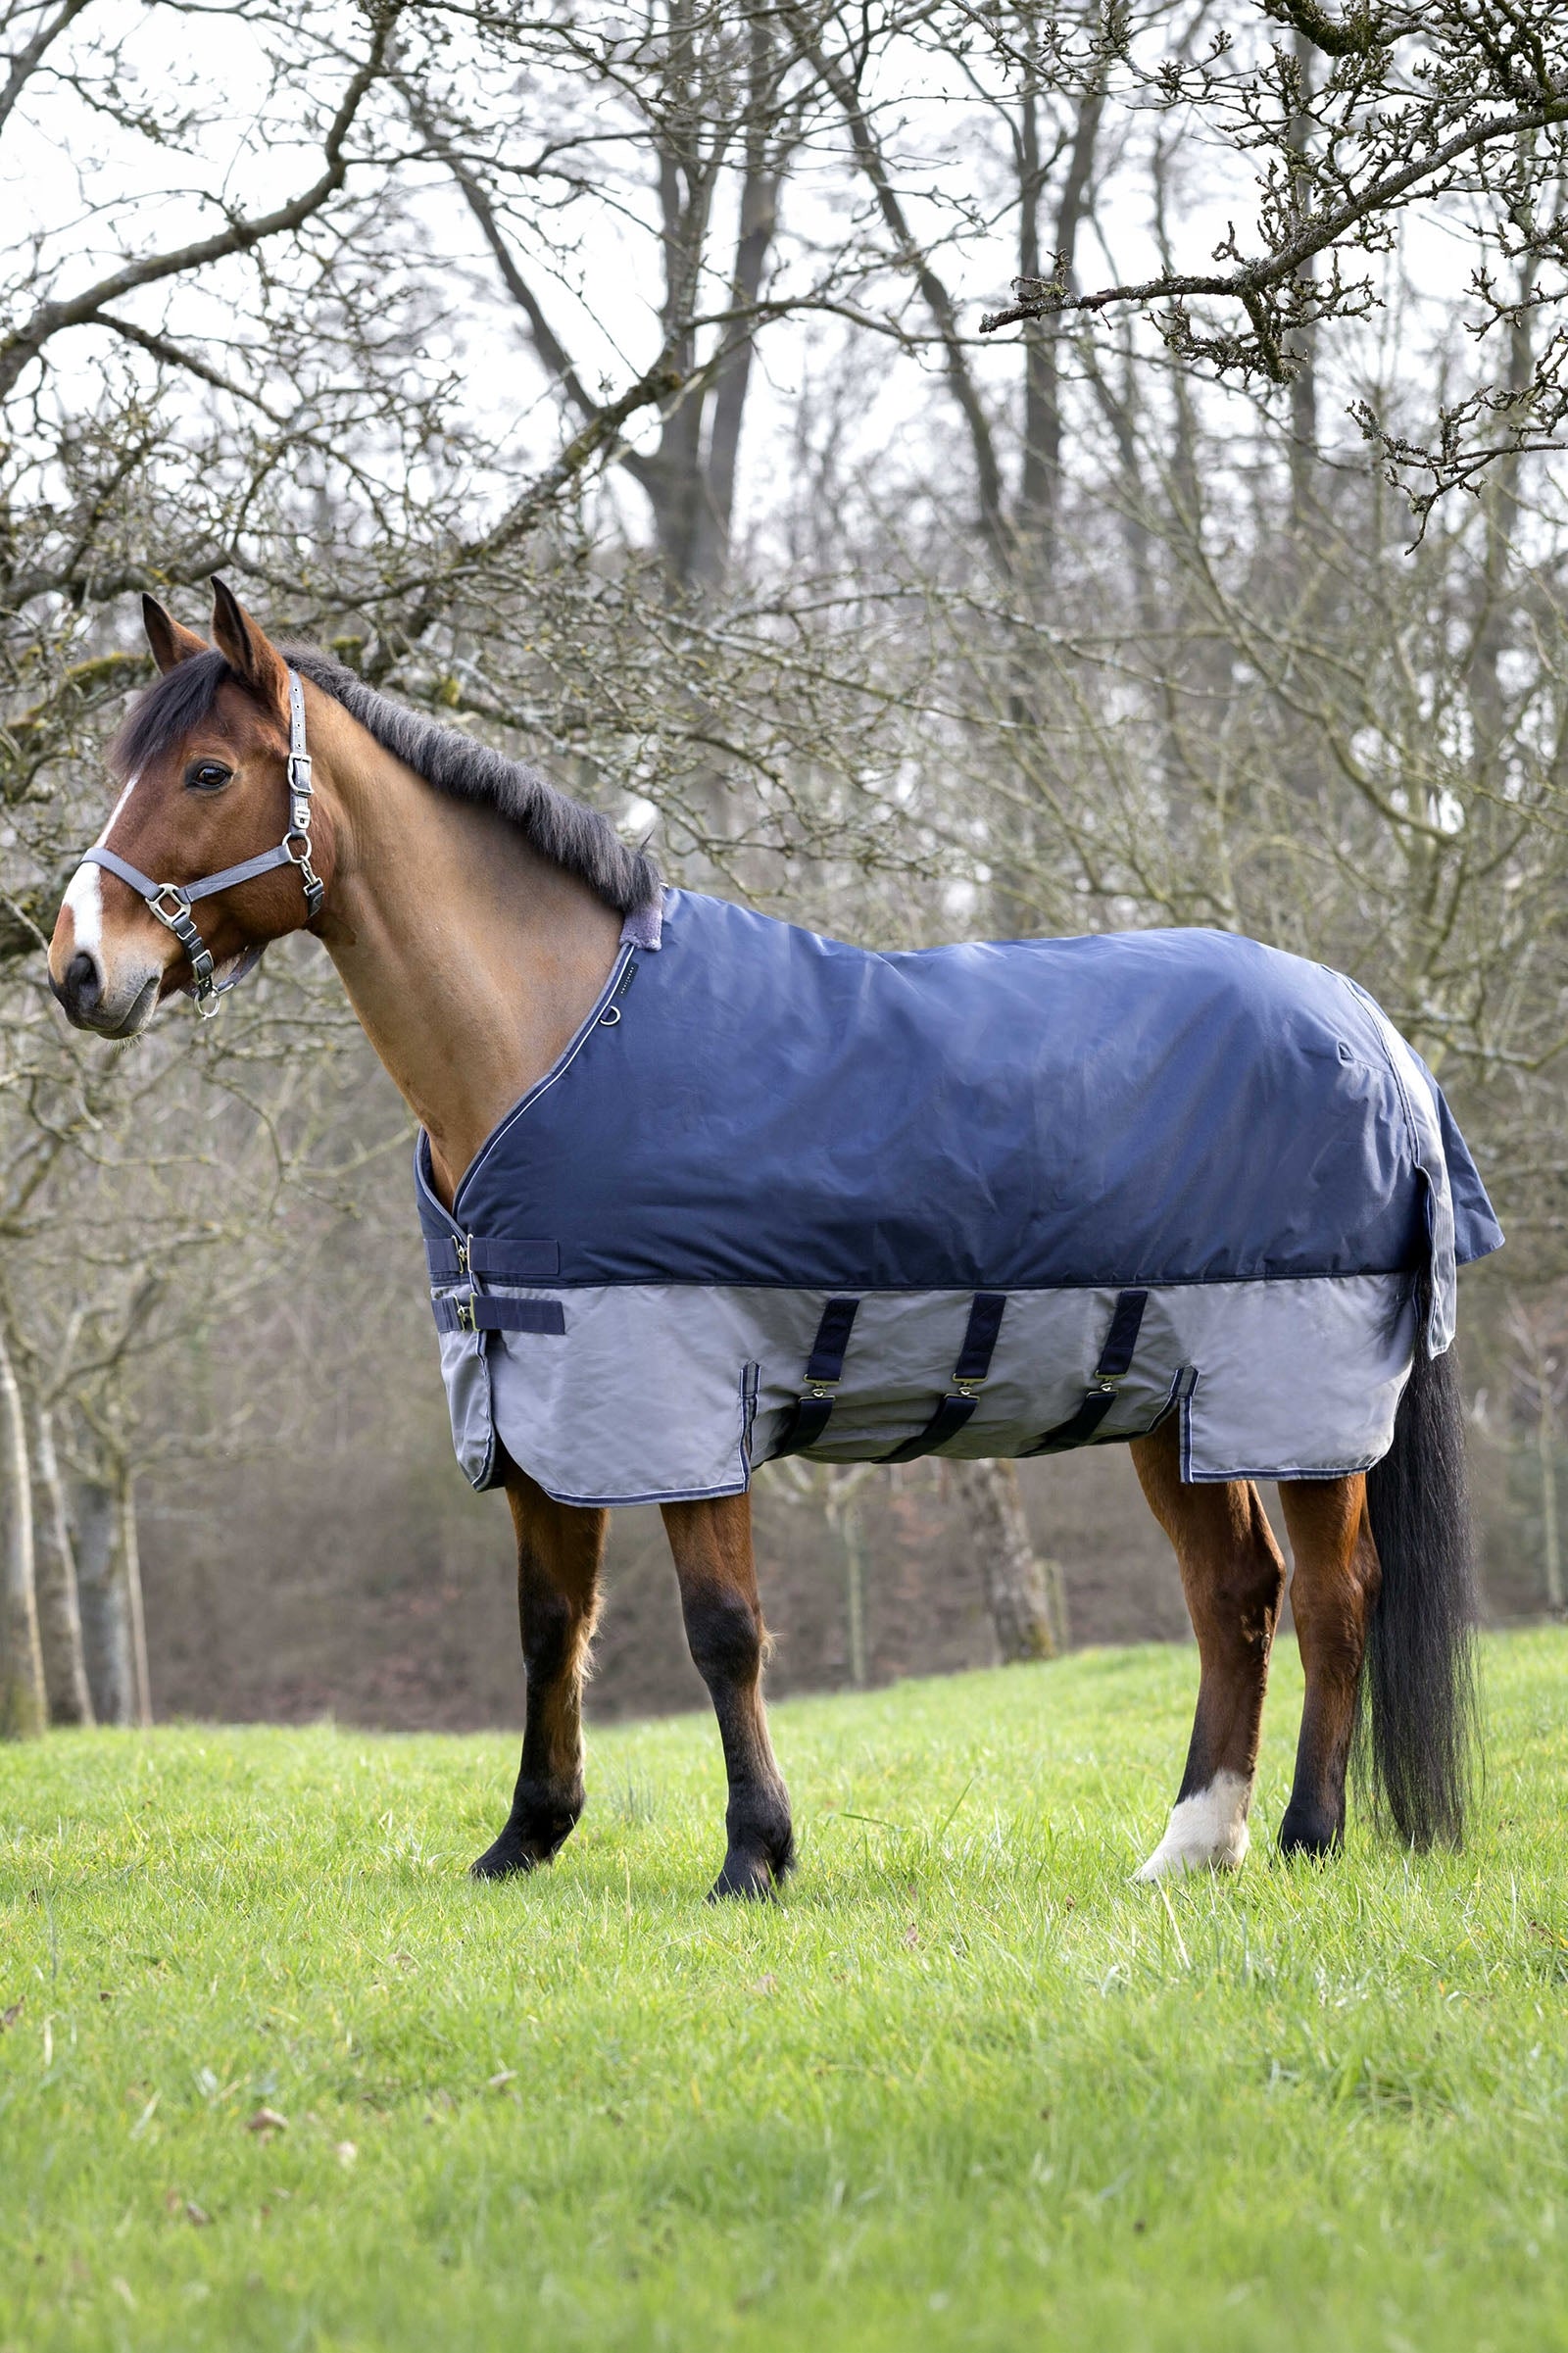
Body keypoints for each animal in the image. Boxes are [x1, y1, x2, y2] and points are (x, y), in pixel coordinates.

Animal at [47, 580, 1499, 1896]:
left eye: (208, 769)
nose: (75, 968)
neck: (556, 1040)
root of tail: (1376, 1035)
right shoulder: (536, 1398)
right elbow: (548, 1623)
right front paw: (527, 1838)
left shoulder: (681, 1396)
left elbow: (722, 1630)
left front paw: (754, 1851)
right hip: (1171, 1404)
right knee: (1235, 1596)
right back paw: (1193, 1847)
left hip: (1298, 1404)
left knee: (1334, 1596)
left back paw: (1308, 1836)